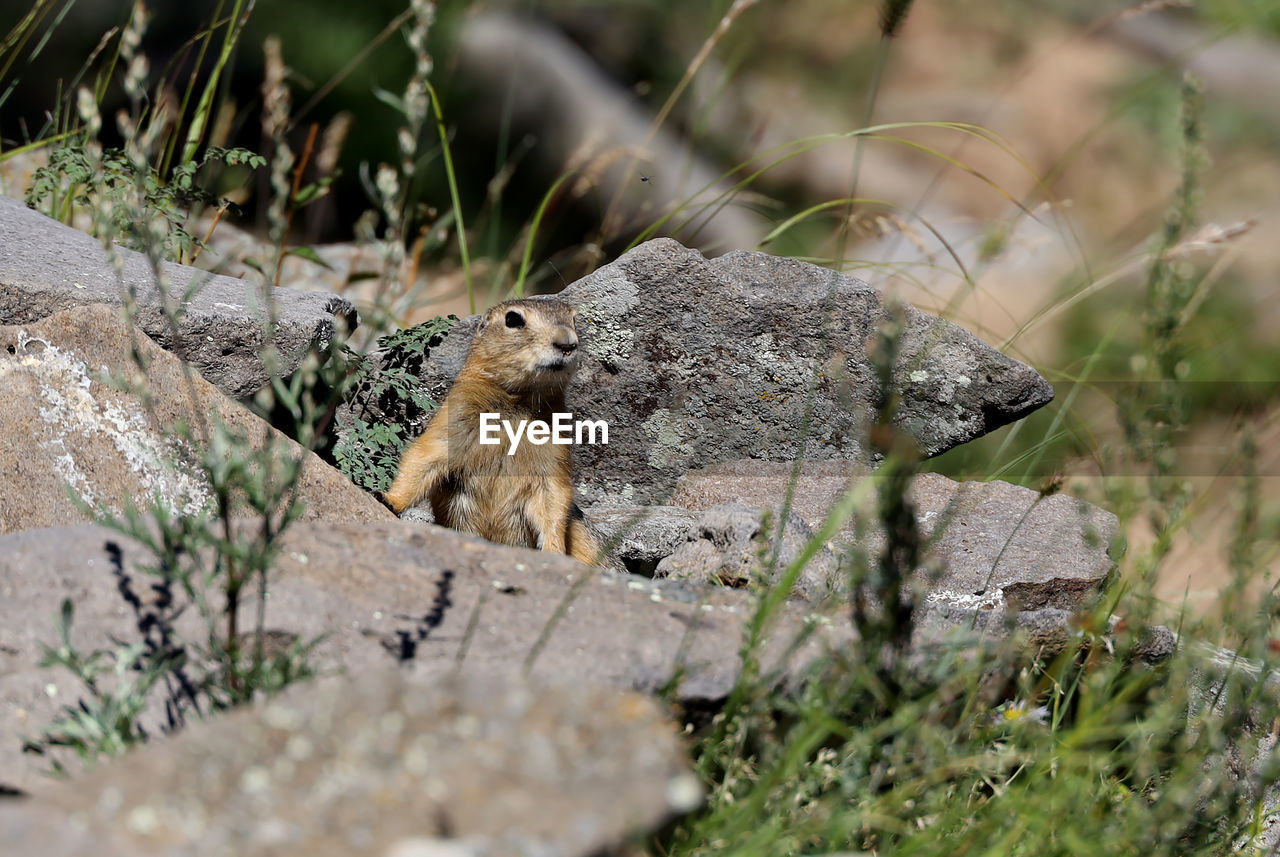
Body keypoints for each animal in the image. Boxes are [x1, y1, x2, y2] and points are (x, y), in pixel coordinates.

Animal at [376, 299, 601, 567]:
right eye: (513, 319)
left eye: (574, 320)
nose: (567, 343)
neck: (516, 401)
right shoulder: (451, 422)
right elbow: (421, 460)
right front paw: (387, 498)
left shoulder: (554, 456)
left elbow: (555, 501)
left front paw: (554, 551)